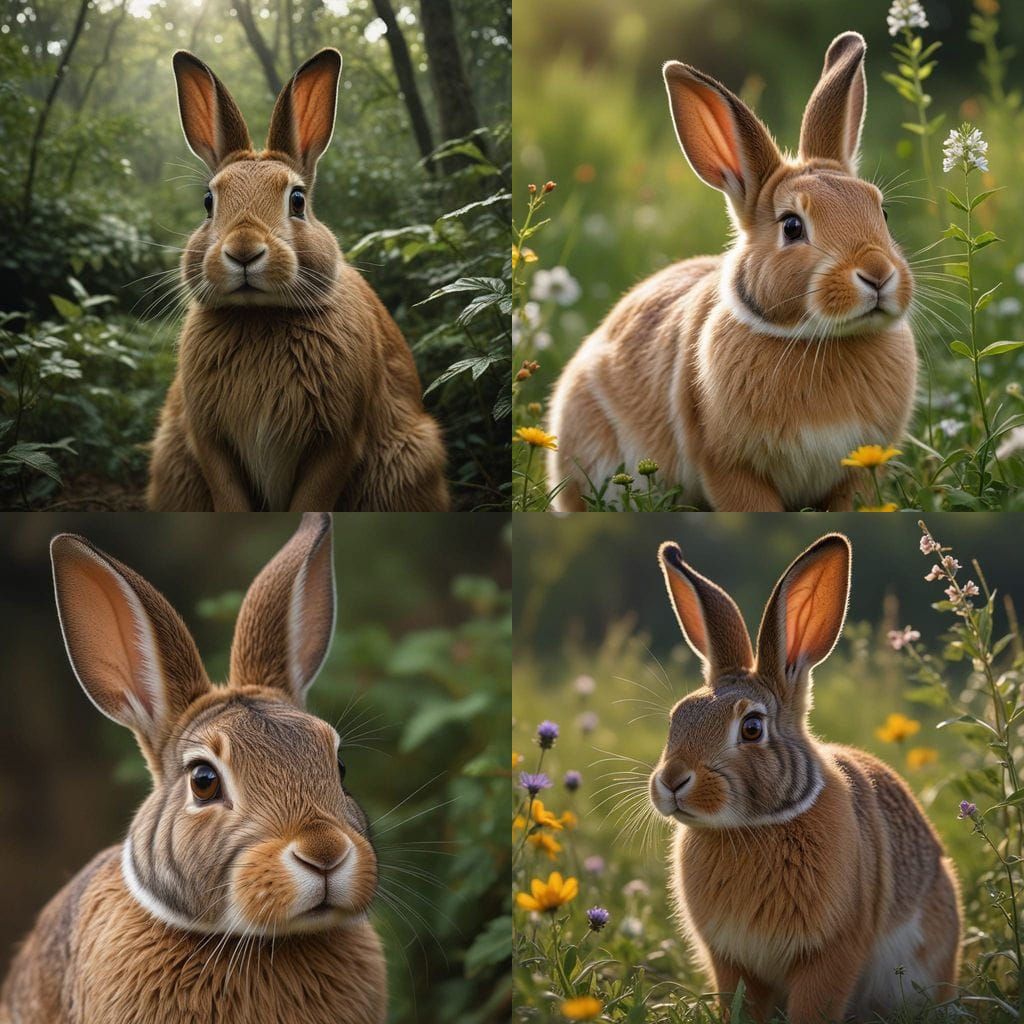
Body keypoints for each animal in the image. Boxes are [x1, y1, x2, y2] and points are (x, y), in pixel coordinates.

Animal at [147, 48, 450, 512]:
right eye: (208, 202)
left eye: (297, 200)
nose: (244, 251)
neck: (261, 316)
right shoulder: (209, 441)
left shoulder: (338, 442)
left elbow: (313, 496)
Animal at [547, 32, 917, 511]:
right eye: (792, 226)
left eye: (882, 213)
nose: (877, 274)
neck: (815, 338)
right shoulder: (728, 466)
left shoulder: (858, 470)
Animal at [647, 533, 961, 1021]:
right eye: (677, 718)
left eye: (752, 728)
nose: (673, 781)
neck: (755, 826)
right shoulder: (731, 960)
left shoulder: (832, 951)